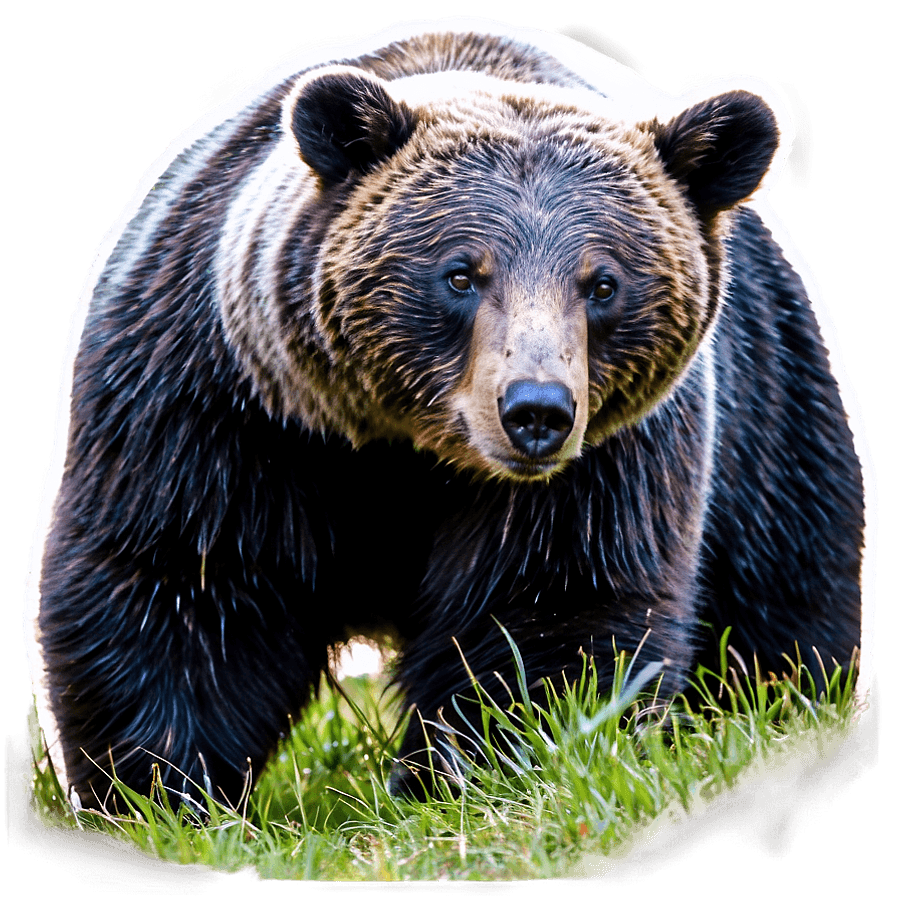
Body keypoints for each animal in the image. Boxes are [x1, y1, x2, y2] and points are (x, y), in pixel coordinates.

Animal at [22, 16, 869, 808]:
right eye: (461, 273)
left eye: (603, 283)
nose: (536, 410)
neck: (400, 446)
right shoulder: (219, 409)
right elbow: (178, 581)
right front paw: (160, 786)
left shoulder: (604, 463)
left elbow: (548, 610)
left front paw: (475, 772)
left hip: (774, 426)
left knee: (784, 612)